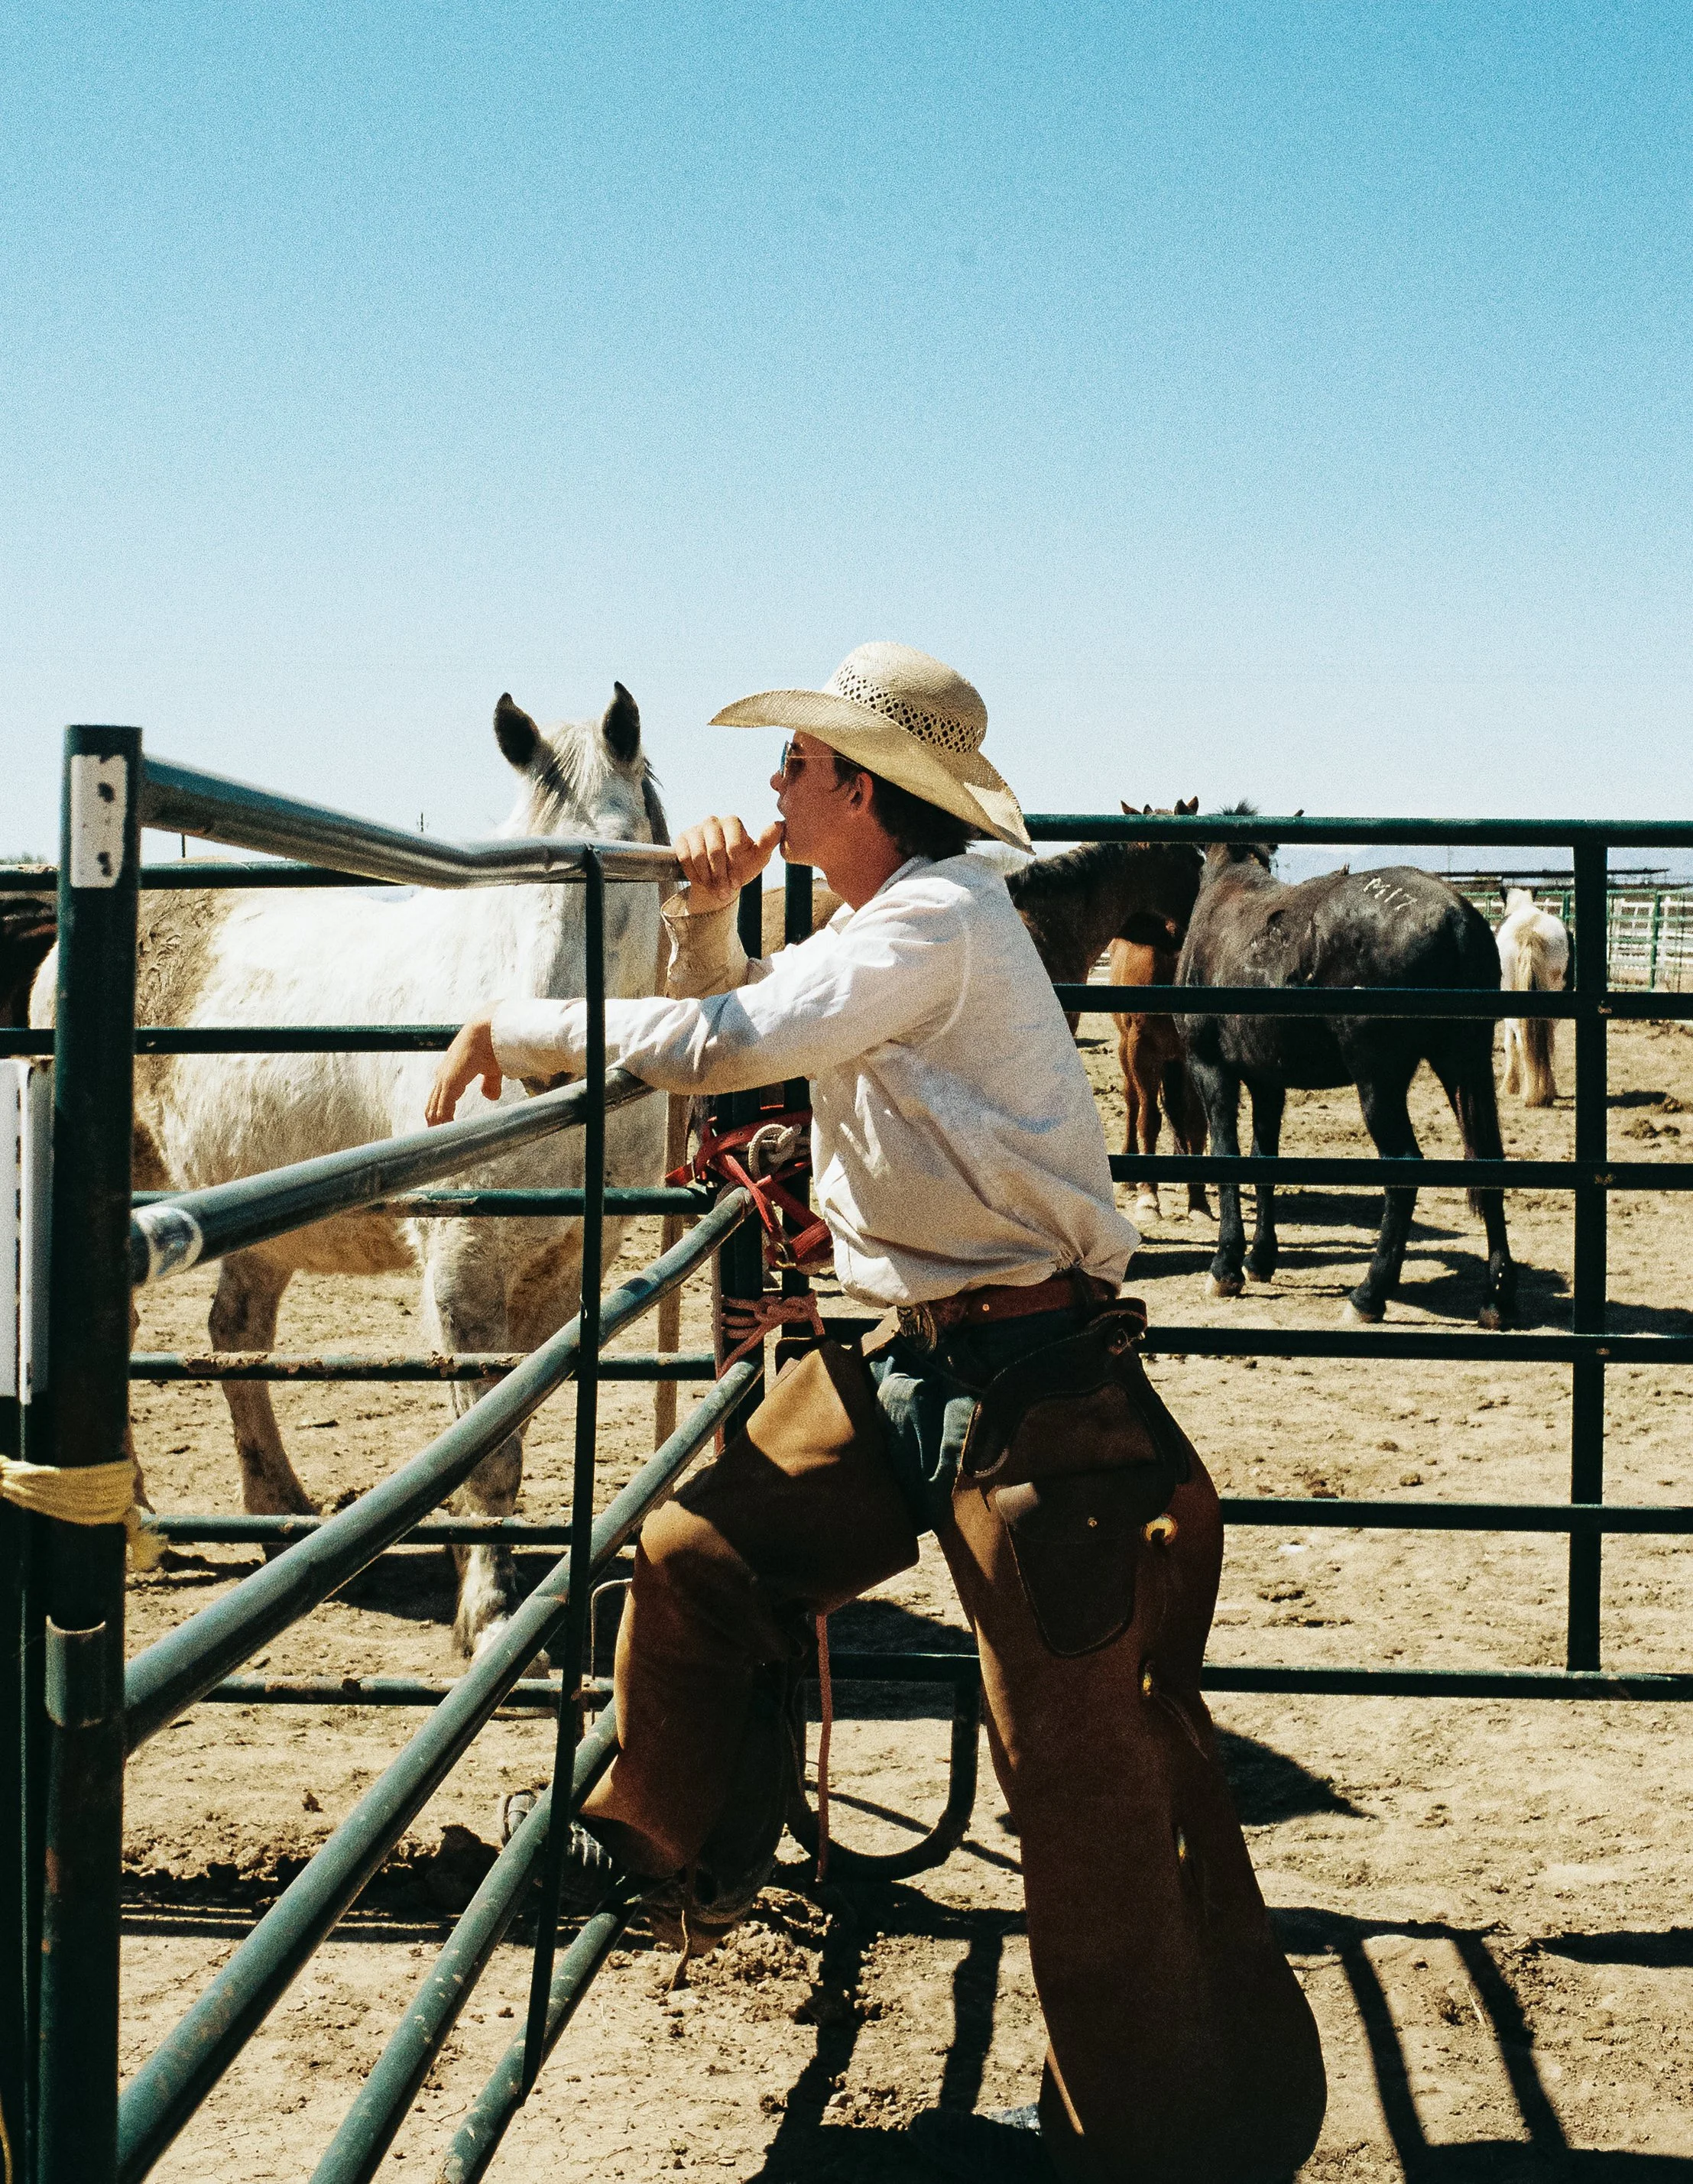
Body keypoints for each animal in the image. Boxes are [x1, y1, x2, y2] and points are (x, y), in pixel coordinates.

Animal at [31, 686, 669, 1656]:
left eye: (621, 858)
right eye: (515, 877)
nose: (535, 1057)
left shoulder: (563, 1266)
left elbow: (511, 1415)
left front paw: (476, 1571)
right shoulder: (461, 1269)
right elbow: (488, 1450)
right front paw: (487, 1611)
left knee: (236, 1334)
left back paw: (276, 1508)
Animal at [1176, 818, 1515, 1328]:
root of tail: (1455, 917)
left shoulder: (1211, 1068)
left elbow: (1227, 1155)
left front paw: (1226, 1267)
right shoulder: (1267, 1080)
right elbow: (1262, 1158)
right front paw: (1260, 1259)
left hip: (1379, 1080)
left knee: (1404, 1171)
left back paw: (1369, 1295)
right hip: (1463, 1063)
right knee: (1487, 1162)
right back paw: (1496, 1299)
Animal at [1495, 887, 1570, 1107]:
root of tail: (1531, 930)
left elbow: (1510, 1045)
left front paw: (1509, 1086)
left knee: (1523, 1042)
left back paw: (1531, 1095)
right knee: (1547, 1042)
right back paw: (1546, 1092)